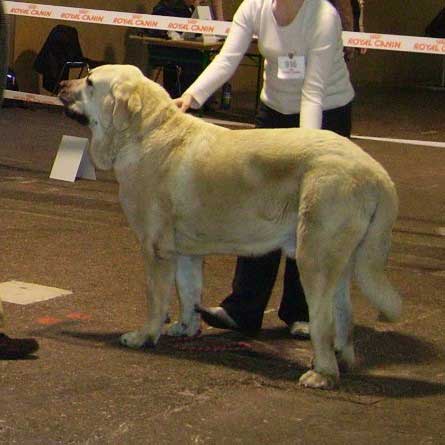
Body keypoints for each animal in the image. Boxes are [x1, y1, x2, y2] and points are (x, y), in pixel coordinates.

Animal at [57, 64, 400, 386]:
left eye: (89, 82)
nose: (61, 84)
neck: (142, 132)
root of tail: (376, 172)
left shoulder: (156, 250)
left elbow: (156, 298)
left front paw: (145, 335)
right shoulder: (185, 252)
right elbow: (188, 291)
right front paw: (186, 327)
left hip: (315, 257)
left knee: (323, 318)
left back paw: (322, 373)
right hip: (341, 262)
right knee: (344, 312)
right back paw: (342, 359)